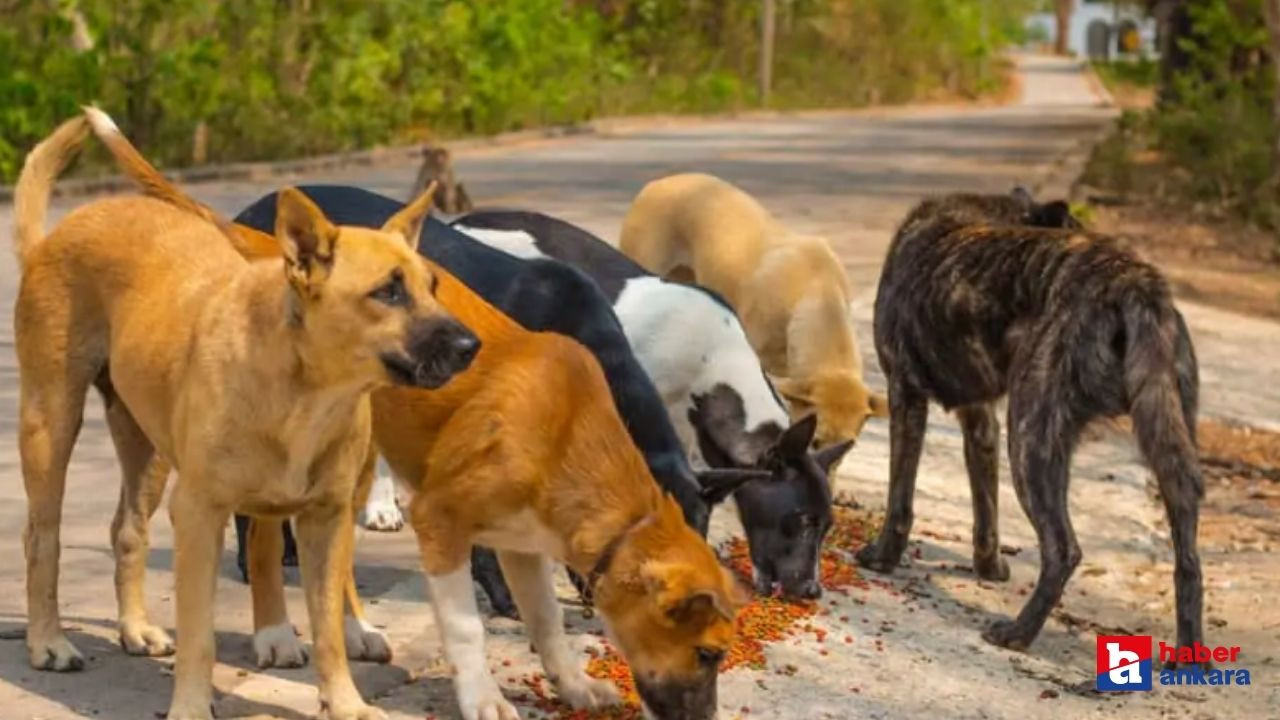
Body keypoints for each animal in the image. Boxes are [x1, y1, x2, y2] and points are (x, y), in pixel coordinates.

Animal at [13, 107, 476, 717]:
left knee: (127, 529)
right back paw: (48, 642)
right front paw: (190, 706)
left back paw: (135, 628)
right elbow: (199, 634)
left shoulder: (325, 520)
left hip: (147, 447)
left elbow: (328, 631)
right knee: (42, 537)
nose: (472, 347)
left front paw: (345, 702)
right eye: (388, 292)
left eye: (432, 285)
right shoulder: (200, 515)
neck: (306, 390)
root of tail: (53, 238)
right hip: (51, 424)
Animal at [855, 185, 1203, 655]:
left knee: (1063, 549)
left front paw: (882, 558)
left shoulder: (905, 395)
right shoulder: (980, 418)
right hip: (1169, 450)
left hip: (1030, 440)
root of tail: (1132, 280)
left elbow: (899, 498)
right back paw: (1189, 655)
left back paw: (1018, 633)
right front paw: (988, 567)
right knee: (1188, 560)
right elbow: (985, 509)